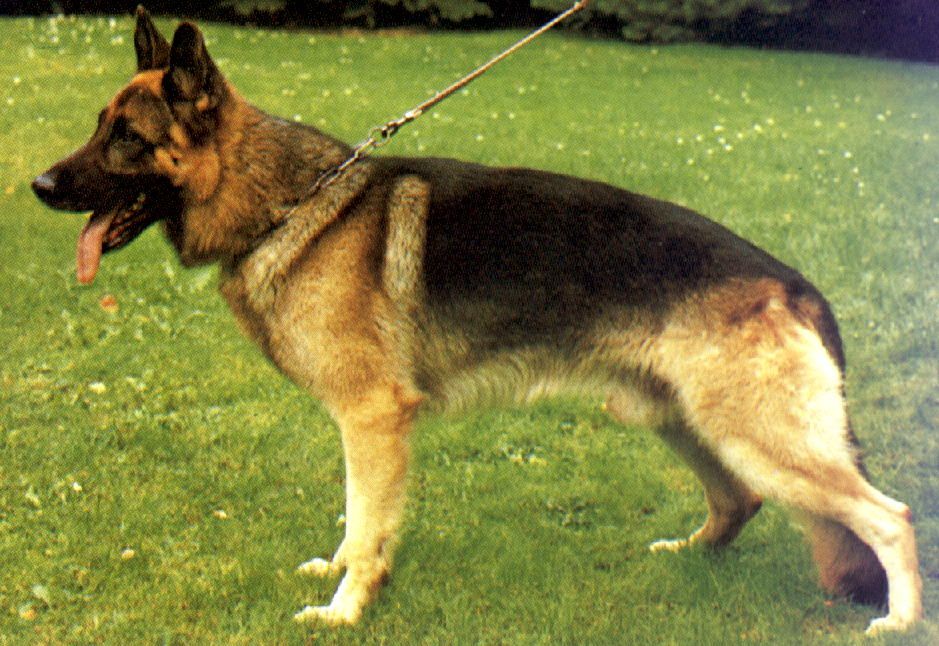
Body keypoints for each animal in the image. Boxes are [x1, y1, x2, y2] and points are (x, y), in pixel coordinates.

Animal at [31, 6, 922, 634]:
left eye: (127, 138)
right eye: (98, 126)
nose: (37, 186)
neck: (286, 203)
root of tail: (790, 283)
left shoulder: (373, 420)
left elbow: (369, 520)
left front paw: (346, 610)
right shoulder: (364, 427)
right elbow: (358, 519)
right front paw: (342, 572)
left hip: (754, 433)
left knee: (889, 516)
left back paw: (897, 620)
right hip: (682, 417)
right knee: (739, 500)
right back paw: (684, 560)